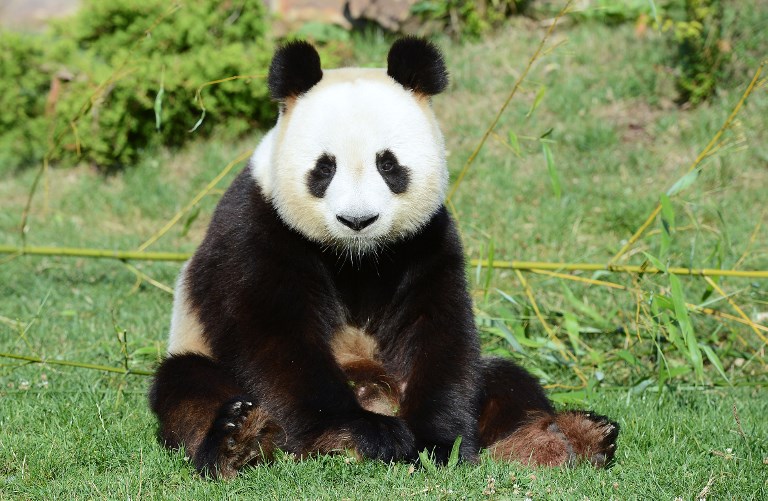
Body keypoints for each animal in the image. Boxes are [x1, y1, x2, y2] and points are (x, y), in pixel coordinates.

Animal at [148, 38, 616, 476]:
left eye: (388, 164)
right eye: (324, 167)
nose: (358, 220)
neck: (357, 258)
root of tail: (380, 395)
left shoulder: (423, 240)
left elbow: (437, 330)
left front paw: (435, 442)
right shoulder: (257, 227)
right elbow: (277, 340)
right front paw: (362, 433)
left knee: (505, 379)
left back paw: (565, 440)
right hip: (198, 350)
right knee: (187, 384)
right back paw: (239, 440)